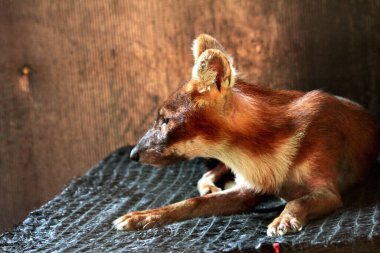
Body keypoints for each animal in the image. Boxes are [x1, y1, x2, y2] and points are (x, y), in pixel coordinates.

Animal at [114, 34, 378, 237]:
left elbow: (297, 200)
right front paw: (142, 216)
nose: (133, 154)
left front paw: (283, 219)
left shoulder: (328, 192)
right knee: (207, 175)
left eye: (166, 121)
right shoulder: (247, 189)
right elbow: (191, 202)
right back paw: (210, 186)